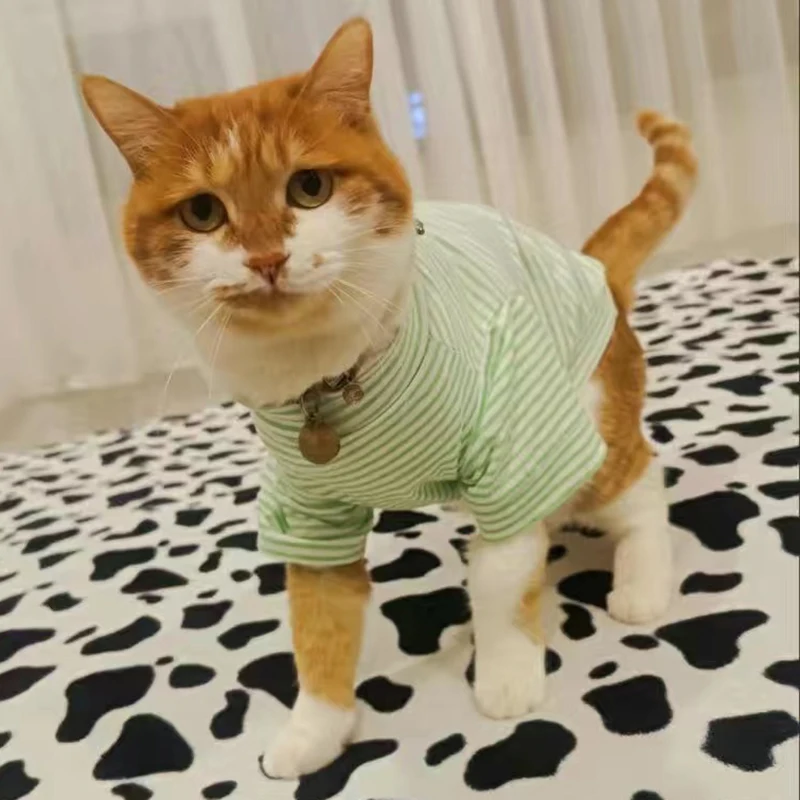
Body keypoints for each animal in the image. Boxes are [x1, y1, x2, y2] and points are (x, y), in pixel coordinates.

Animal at [82, 17, 697, 780]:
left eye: (309, 187)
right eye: (203, 211)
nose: (266, 258)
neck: (328, 377)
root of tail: (595, 272)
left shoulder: (509, 451)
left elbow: (501, 585)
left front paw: (507, 672)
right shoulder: (308, 514)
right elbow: (318, 624)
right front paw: (316, 728)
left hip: (577, 432)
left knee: (638, 484)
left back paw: (641, 579)